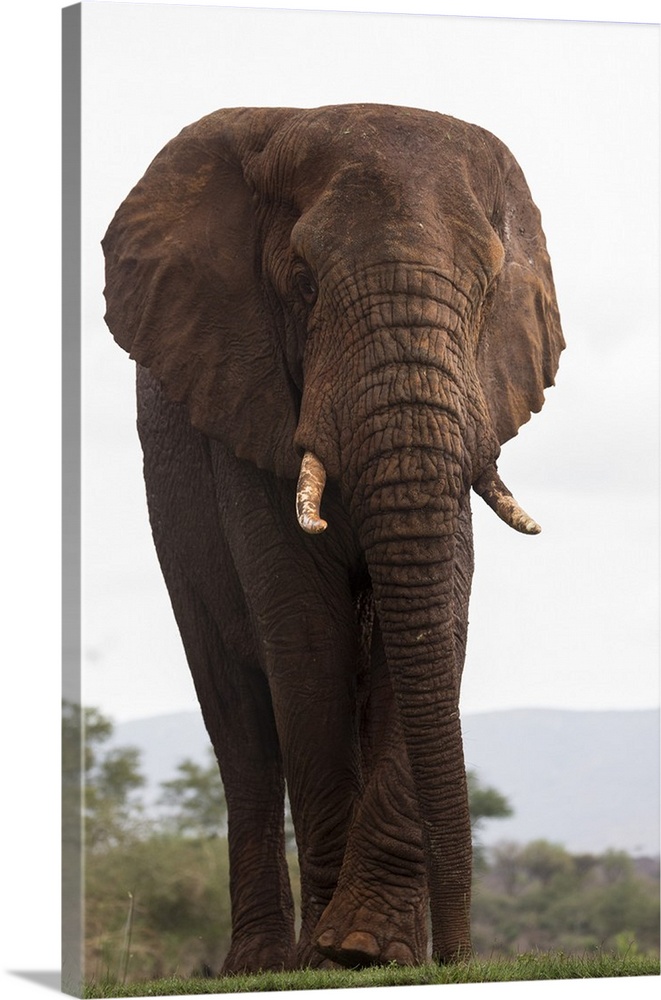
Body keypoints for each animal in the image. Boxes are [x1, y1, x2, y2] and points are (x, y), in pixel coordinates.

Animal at [102, 105, 564, 972]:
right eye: (305, 285)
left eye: (486, 289)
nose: (459, 958)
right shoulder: (243, 401)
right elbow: (303, 629)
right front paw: (336, 957)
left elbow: (434, 615)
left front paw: (370, 949)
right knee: (241, 725)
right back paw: (260, 964)